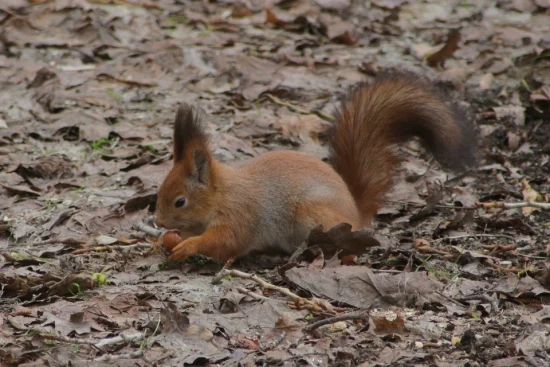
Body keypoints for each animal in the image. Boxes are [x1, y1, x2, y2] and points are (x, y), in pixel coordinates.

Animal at [154, 70, 478, 264]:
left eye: (180, 201)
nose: (158, 222)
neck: (221, 195)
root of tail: (356, 213)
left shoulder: (239, 215)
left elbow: (225, 242)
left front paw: (188, 247)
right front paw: (162, 241)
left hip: (313, 213)